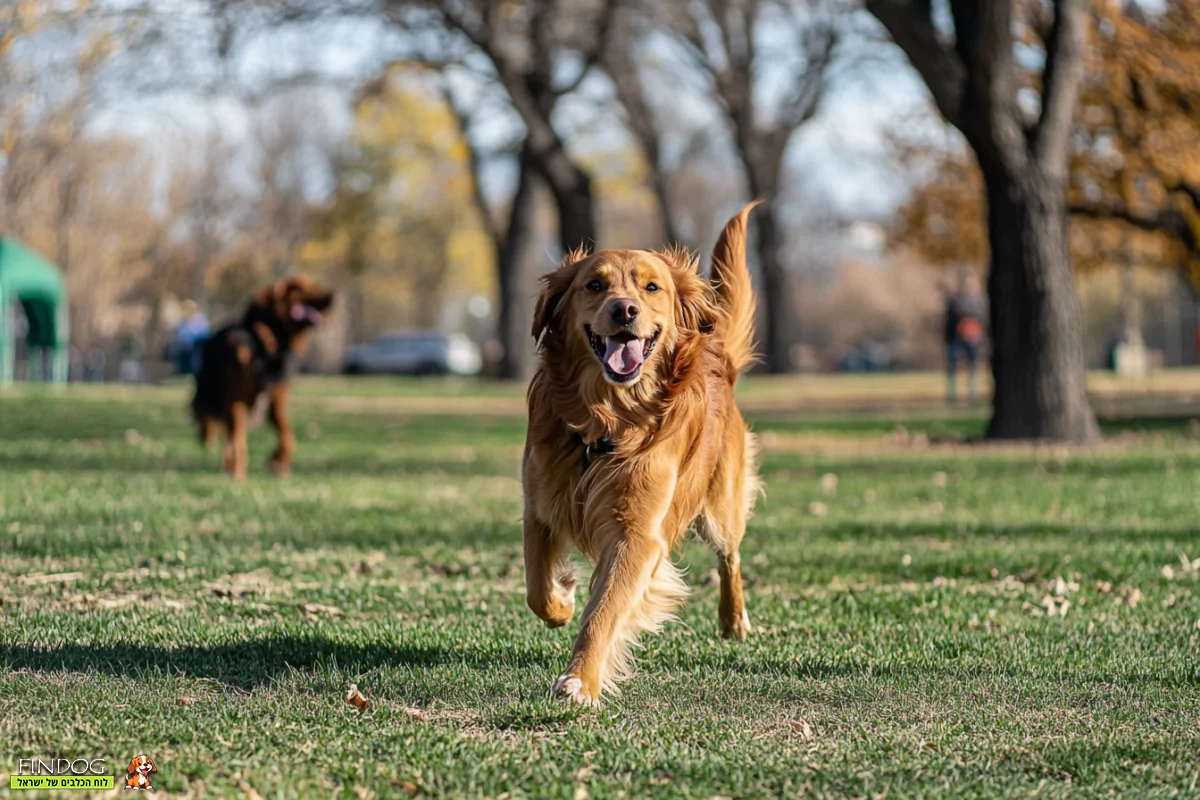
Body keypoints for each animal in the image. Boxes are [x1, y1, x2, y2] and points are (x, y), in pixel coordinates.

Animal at [190, 275, 333, 479]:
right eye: (299, 287)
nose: (333, 296)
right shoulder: (238, 402)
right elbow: (239, 441)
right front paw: (241, 472)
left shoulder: (275, 402)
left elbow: (288, 436)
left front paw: (278, 462)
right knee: (227, 433)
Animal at [523, 200, 758, 705]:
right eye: (594, 285)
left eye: (651, 287)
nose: (625, 309)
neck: (607, 418)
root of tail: (718, 352)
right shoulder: (540, 505)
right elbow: (537, 588)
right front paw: (563, 599)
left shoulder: (638, 535)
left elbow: (604, 612)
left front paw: (581, 679)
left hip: (721, 507)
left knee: (730, 556)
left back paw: (734, 620)